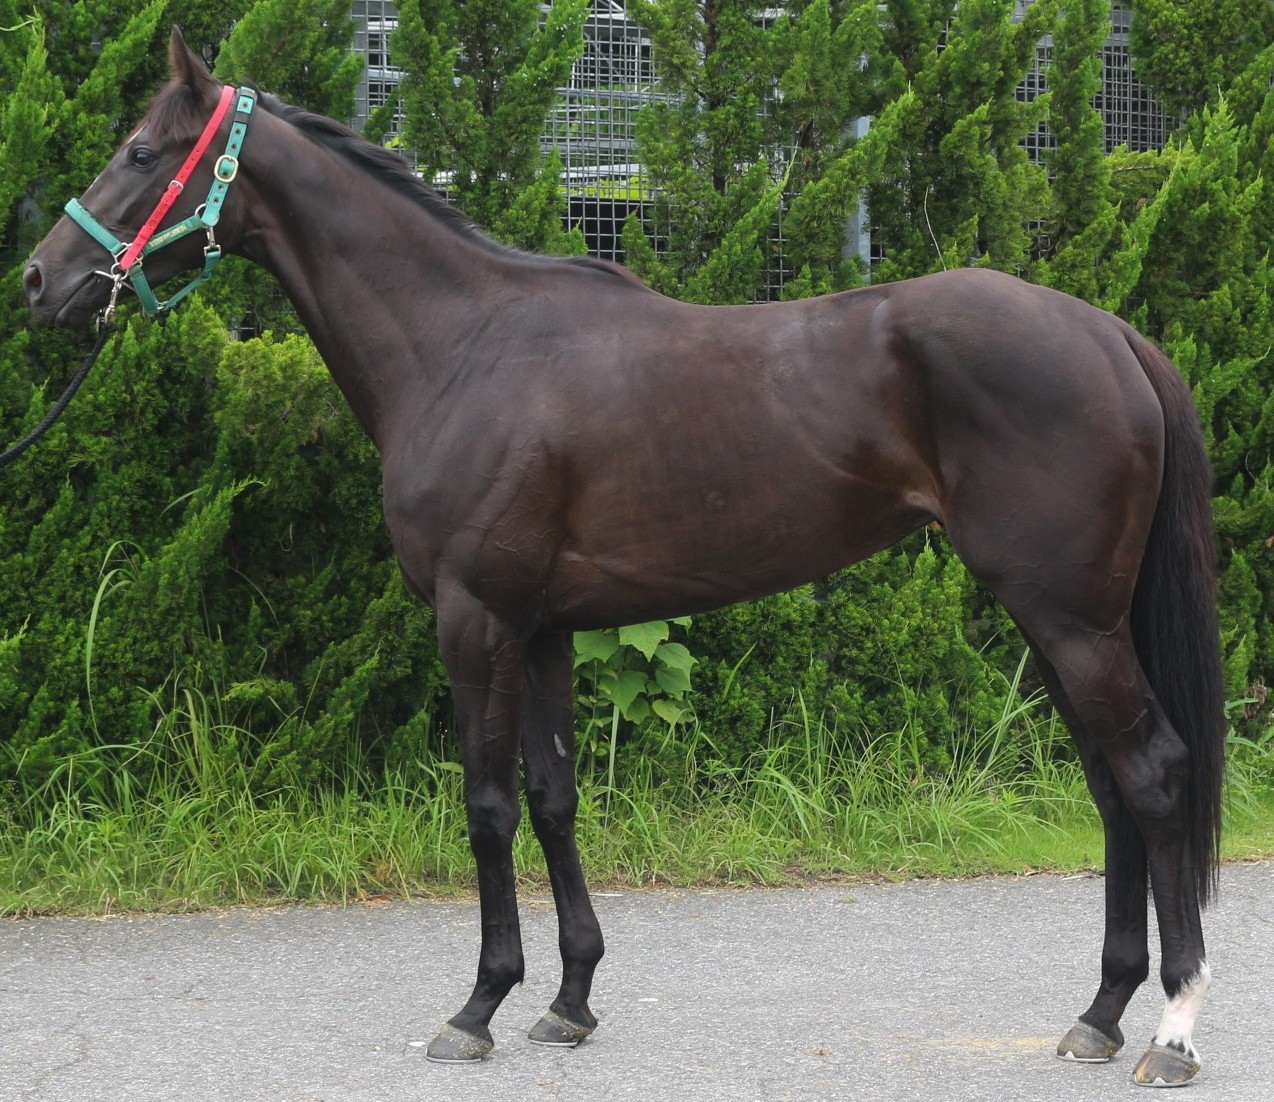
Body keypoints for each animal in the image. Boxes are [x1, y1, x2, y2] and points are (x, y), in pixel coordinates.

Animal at [24, 29, 1224, 1086]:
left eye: (142, 152)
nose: (40, 279)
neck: (464, 346)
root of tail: (1110, 334)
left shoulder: (475, 618)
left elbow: (488, 806)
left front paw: (476, 1008)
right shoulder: (547, 628)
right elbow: (554, 799)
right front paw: (568, 1000)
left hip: (1068, 618)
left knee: (1155, 776)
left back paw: (1171, 1029)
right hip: (1059, 621)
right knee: (1112, 788)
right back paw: (1099, 1013)